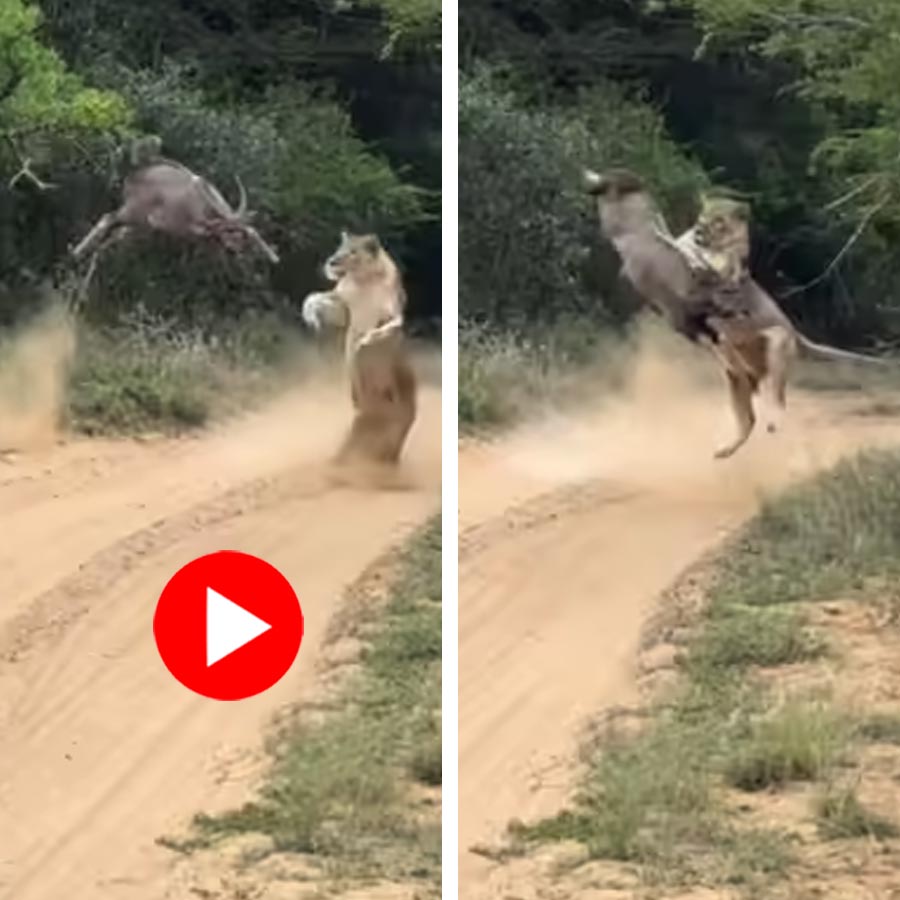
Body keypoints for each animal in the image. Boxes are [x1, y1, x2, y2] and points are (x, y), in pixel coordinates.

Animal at [302, 231, 417, 465]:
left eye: (353, 252)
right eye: (340, 248)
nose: (332, 261)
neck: (363, 281)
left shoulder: (393, 313)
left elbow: (392, 326)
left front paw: (365, 341)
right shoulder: (343, 307)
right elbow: (315, 297)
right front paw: (310, 312)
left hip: (396, 428)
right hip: (360, 413)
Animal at [585, 168, 887, 459]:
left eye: (718, 221)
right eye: (703, 218)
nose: (700, 231)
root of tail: (797, 335)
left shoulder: (705, 280)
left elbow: (714, 278)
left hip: (776, 345)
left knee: (776, 397)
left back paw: (772, 418)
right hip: (736, 383)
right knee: (749, 419)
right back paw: (725, 449)